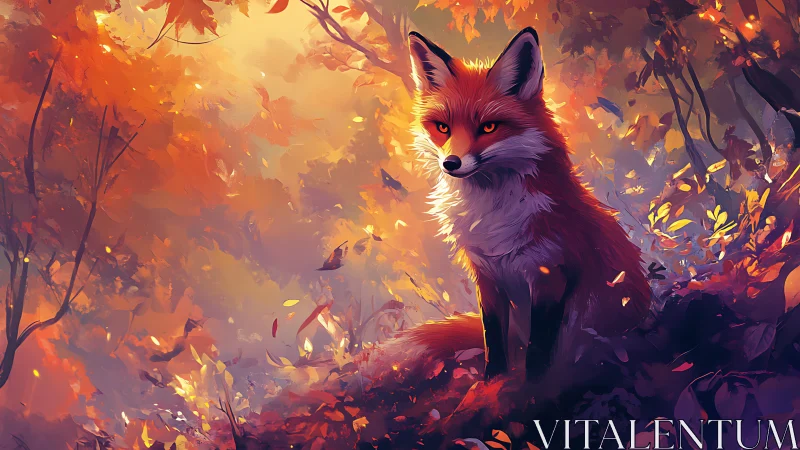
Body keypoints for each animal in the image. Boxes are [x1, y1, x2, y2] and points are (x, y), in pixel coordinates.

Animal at [397, 28, 652, 380]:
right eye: (443, 128)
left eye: (488, 127)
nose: (450, 163)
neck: (494, 217)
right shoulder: (486, 275)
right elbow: (492, 338)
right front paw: (493, 380)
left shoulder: (550, 272)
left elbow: (539, 346)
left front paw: (533, 384)